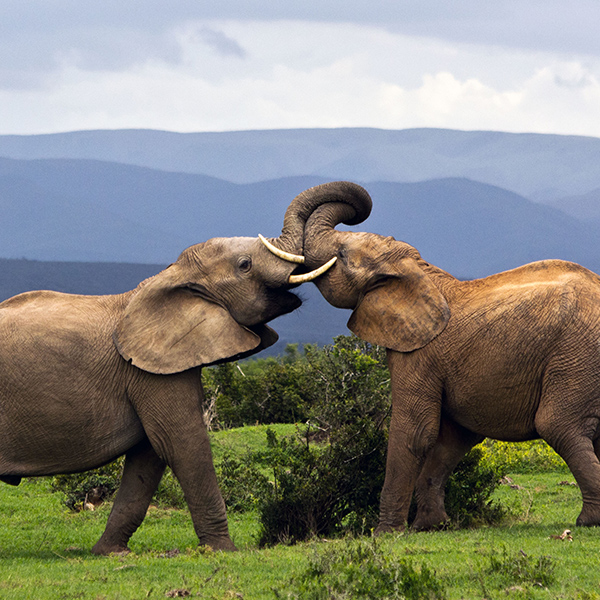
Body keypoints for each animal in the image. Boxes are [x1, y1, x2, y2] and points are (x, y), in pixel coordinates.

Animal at [0, 227, 338, 556]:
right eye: (245, 265)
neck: (169, 276)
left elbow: (149, 456)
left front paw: (110, 553)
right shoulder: (151, 372)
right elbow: (182, 444)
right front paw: (223, 551)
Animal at [264, 182, 600, 536]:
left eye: (340, 255)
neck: (419, 272)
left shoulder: (418, 354)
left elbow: (415, 431)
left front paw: (384, 533)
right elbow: (452, 439)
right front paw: (430, 526)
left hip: (576, 354)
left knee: (558, 425)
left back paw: (588, 521)